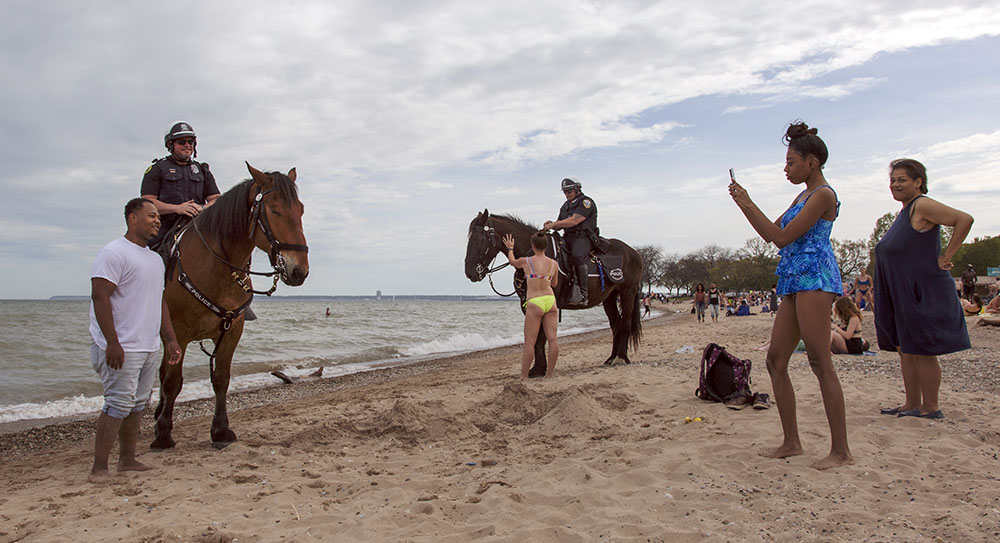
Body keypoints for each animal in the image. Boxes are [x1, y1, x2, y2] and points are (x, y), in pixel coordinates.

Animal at [151, 163, 308, 450]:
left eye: (300, 209)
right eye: (274, 210)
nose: (298, 270)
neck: (217, 268)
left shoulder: (232, 330)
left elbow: (221, 379)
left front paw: (221, 430)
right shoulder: (178, 332)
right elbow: (173, 382)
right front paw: (164, 433)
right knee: (163, 374)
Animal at [466, 210, 644, 376]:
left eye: (478, 238)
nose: (470, 272)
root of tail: (634, 252)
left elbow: (541, 336)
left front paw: (539, 368)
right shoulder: (528, 304)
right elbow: (536, 335)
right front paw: (538, 368)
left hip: (628, 291)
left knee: (625, 323)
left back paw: (621, 357)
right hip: (609, 298)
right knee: (616, 324)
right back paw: (611, 358)